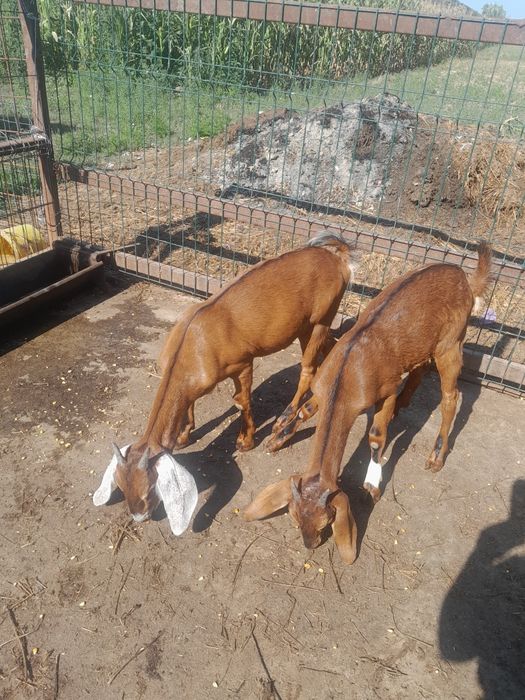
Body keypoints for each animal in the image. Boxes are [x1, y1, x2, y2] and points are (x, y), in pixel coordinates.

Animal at [93, 233, 355, 533]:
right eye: (121, 485)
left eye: (150, 489)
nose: (139, 516)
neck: (192, 344)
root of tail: (338, 258)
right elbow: (191, 401)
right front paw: (184, 435)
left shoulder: (242, 363)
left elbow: (241, 401)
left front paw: (245, 441)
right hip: (306, 325)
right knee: (330, 352)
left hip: (324, 316)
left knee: (308, 369)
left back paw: (283, 421)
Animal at [244, 243, 492, 564]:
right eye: (295, 518)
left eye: (326, 522)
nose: (311, 545)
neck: (347, 374)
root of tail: (463, 275)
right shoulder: (324, 388)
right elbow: (305, 411)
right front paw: (276, 439)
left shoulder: (385, 389)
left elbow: (376, 435)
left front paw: (372, 484)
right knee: (420, 368)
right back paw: (405, 404)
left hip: (451, 341)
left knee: (451, 396)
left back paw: (437, 455)